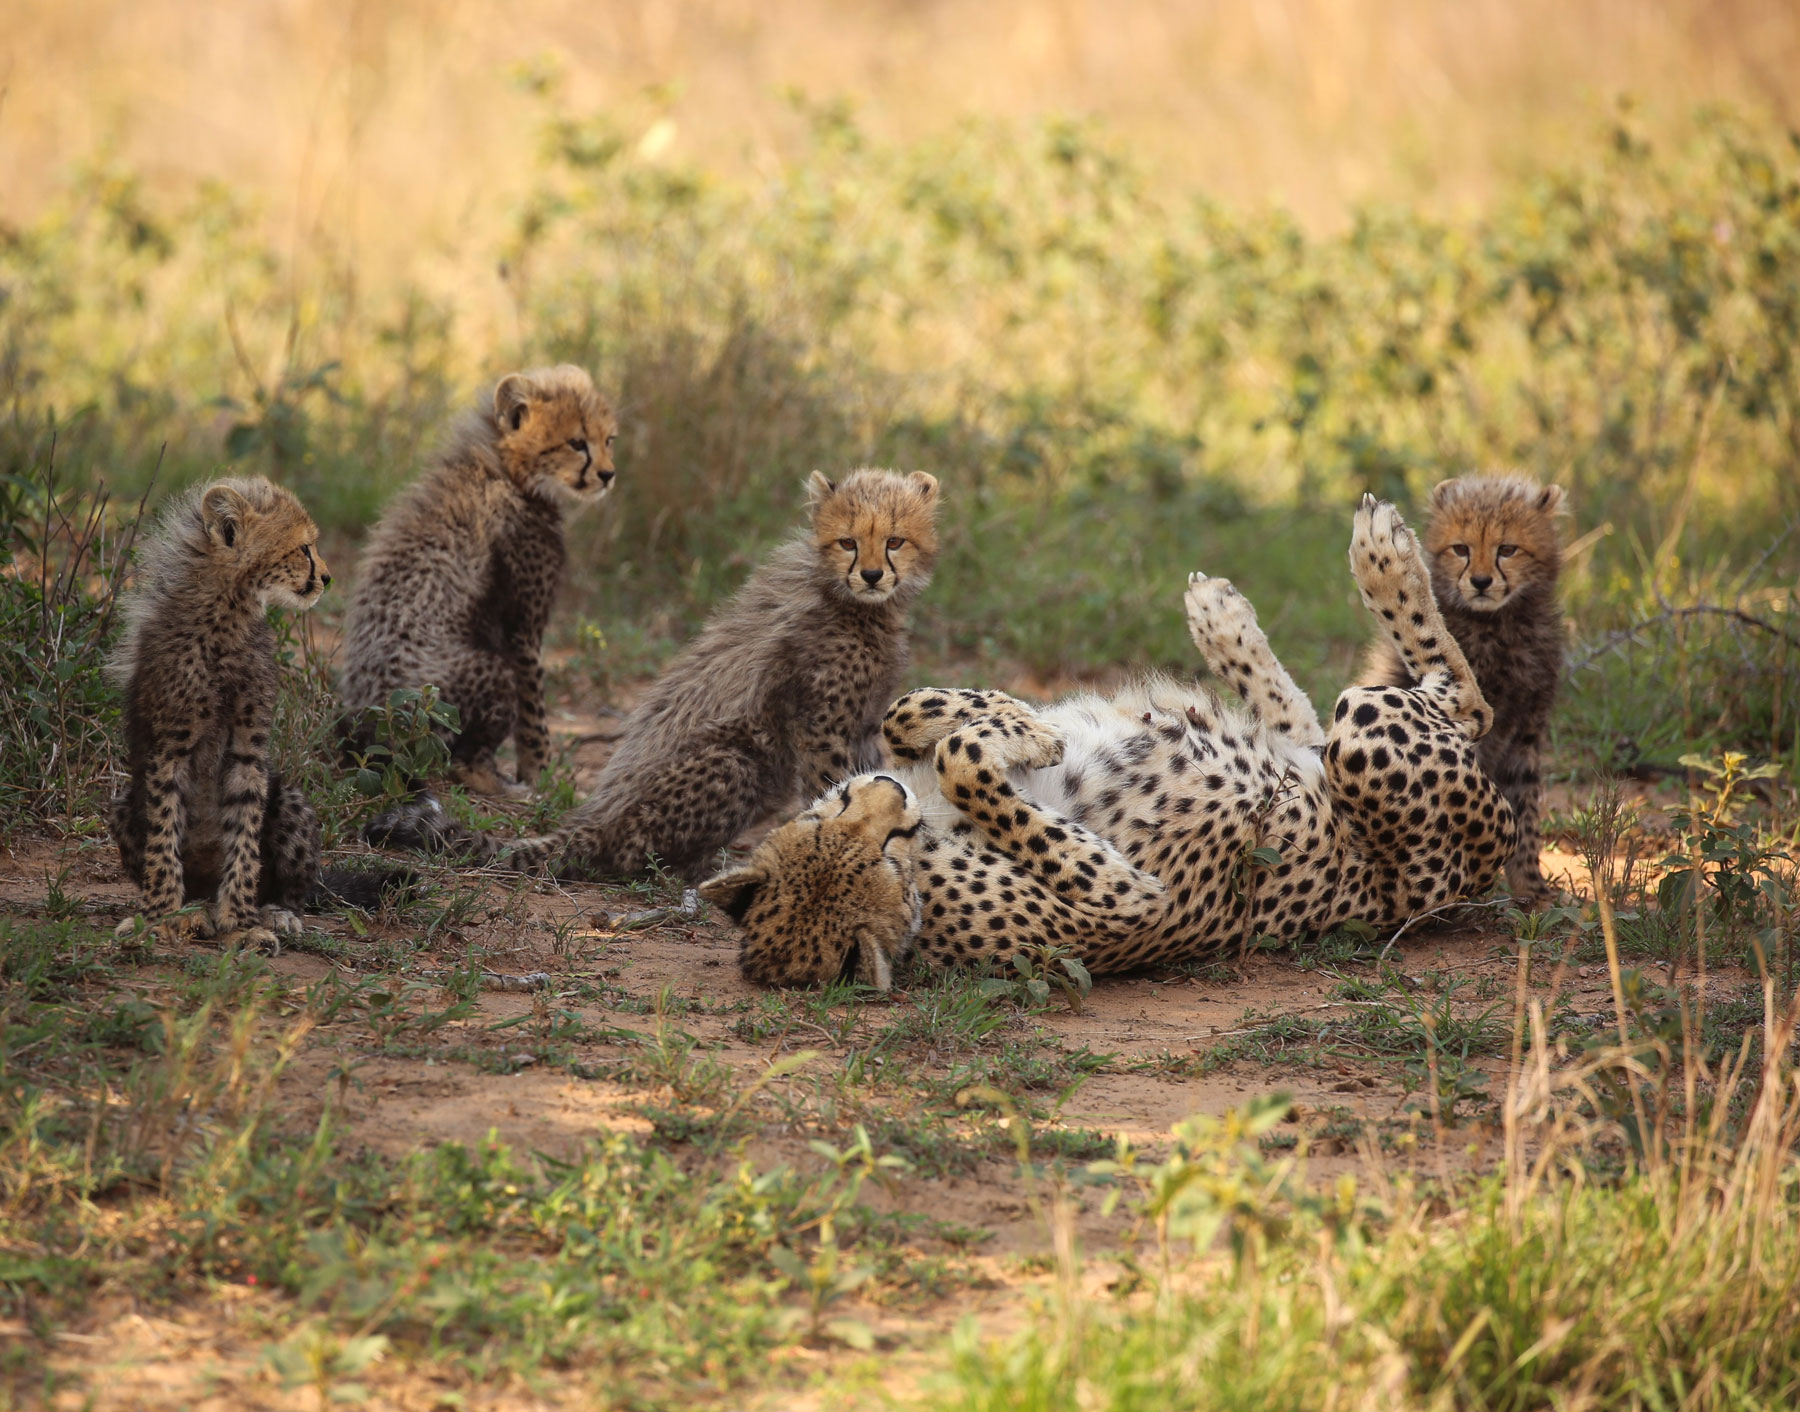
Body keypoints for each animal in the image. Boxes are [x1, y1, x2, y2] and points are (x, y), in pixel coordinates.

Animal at [702, 500, 1519, 986]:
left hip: (1342, 747)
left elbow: (911, 715)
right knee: (1460, 703)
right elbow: (964, 760)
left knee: (1344, 718)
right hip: (1373, 740)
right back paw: (1378, 563)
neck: (922, 858)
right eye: (873, 850)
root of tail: (1473, 876)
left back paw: (1236, 611)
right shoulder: (1127, 901)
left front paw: (1009, 717)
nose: (883, 795)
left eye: (836, 819)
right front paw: (1025, 737)